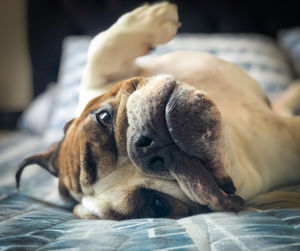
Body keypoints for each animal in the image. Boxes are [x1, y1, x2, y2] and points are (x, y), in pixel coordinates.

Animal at [16, 2, 300, 221]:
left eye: (104, 117)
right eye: (157, 205)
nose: (147, 147)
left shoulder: (95, 85)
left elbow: (98, 50)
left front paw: (152, 16)